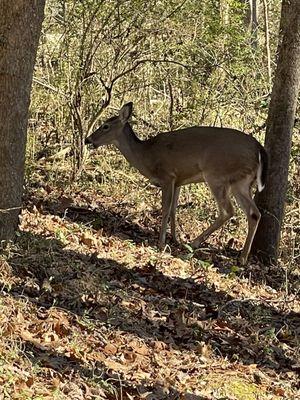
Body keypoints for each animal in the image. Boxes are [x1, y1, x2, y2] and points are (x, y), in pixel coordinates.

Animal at [85, 103, 268, 266]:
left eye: (105, 126)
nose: (88, 139)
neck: (146, 156)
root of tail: (259, 149)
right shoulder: (179, 179)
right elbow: (174, 209)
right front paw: (174, 238)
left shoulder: (167, 176)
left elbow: (166, 209)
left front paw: (161, 243)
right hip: (241, 183)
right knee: (254, 213)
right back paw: (242, 258)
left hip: (217, 175)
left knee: (228, 211)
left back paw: (195, 243)